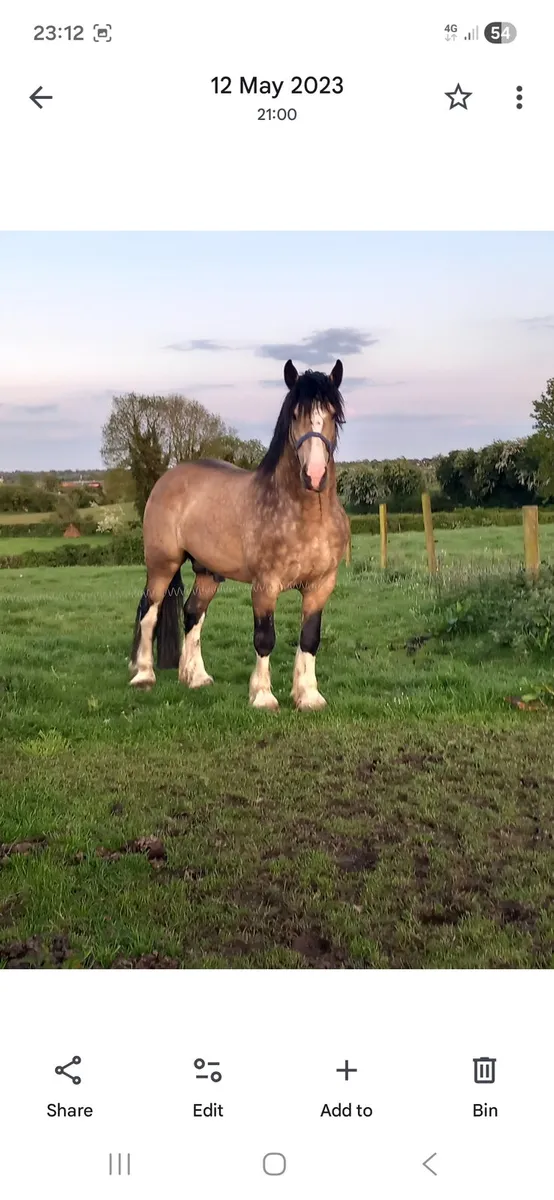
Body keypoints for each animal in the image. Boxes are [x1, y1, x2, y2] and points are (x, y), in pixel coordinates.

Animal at [129, 358, 349, 710]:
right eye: (294, 414)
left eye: (333, 414)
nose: (314, 475)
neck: (307, 517)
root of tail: (168, 478)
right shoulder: (265, 586)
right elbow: (264, 638)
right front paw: (262, 696)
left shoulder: (320, 586)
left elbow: (309, 638)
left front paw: (308, 695)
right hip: (162, 564)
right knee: (149, 611)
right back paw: (144, 675)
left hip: (208, 572)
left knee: (193, 614)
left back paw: (196, 677)